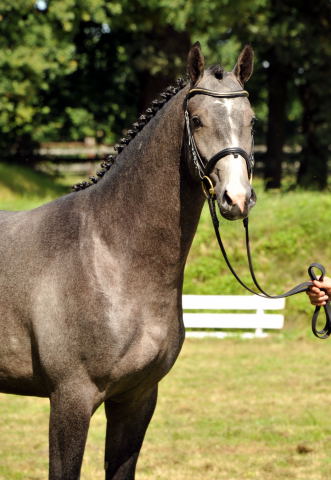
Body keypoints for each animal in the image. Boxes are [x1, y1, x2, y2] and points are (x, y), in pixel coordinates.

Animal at [0, 43, 256, 478]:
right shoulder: (71, 399)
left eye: (252, 121)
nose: (236, 199)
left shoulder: (136, 399)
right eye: (197, 120)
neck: (111, 258)